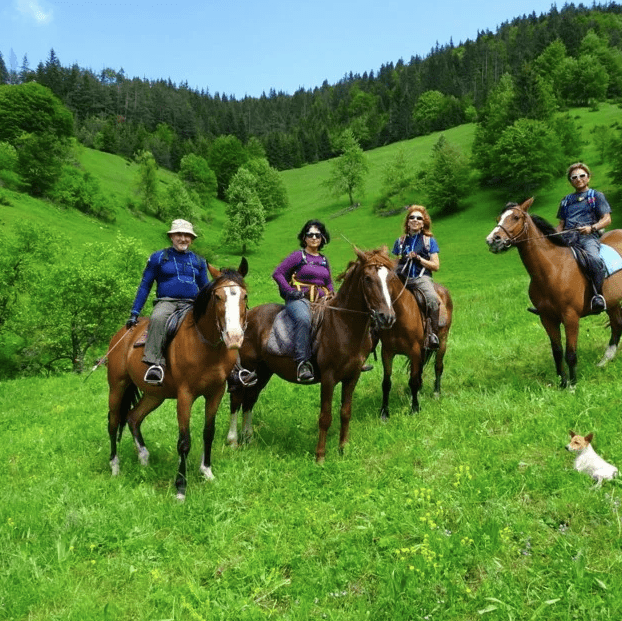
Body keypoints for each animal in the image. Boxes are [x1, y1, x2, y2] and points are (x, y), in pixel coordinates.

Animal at [108, 256, 250, 498]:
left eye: (244, 296)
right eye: (217, 297)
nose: (234, 337)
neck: (205, 346)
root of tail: (123, 334)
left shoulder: (216, 392)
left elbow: (208, 432)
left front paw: (207, 472)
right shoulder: (185, 395)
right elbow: (184, 441)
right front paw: (181, 487)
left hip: (155, 395)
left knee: (133, 417)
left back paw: (144, 459)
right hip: (117, 386)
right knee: (113, 421)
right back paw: (115, 467)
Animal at [227, 246, 398, 460]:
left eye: (390, 278)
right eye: (367, 278)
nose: (387, 317)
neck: (343, 324)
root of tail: (247, 317)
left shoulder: (352, 376)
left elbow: (345, 412)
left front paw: (343, 449)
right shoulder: (328, 378)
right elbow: (325, 417)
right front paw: (320, 456)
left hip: (263, 371)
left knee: (250, 399)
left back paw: (248, 438)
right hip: (247, 368)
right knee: (236, 400)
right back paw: (233, 441)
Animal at [378, 274, 456, 416]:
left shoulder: (414, 351)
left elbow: (413, 381)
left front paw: (414, 409)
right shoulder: (387, 352)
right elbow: (386, 382)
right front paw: (384, 412)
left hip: (442, 341)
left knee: (438, 366)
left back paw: (436, 392)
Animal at [488, 199, 622, 386]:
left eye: (515, 217)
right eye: (498, 218)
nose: (493, 240)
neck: (553, 269)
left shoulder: (571, 317)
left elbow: (570, 353)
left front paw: (573, 385)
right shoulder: (547, 318)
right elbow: (557, 352)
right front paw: (562, 383)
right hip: (612, 302)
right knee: (617, 325)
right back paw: (605, 360)